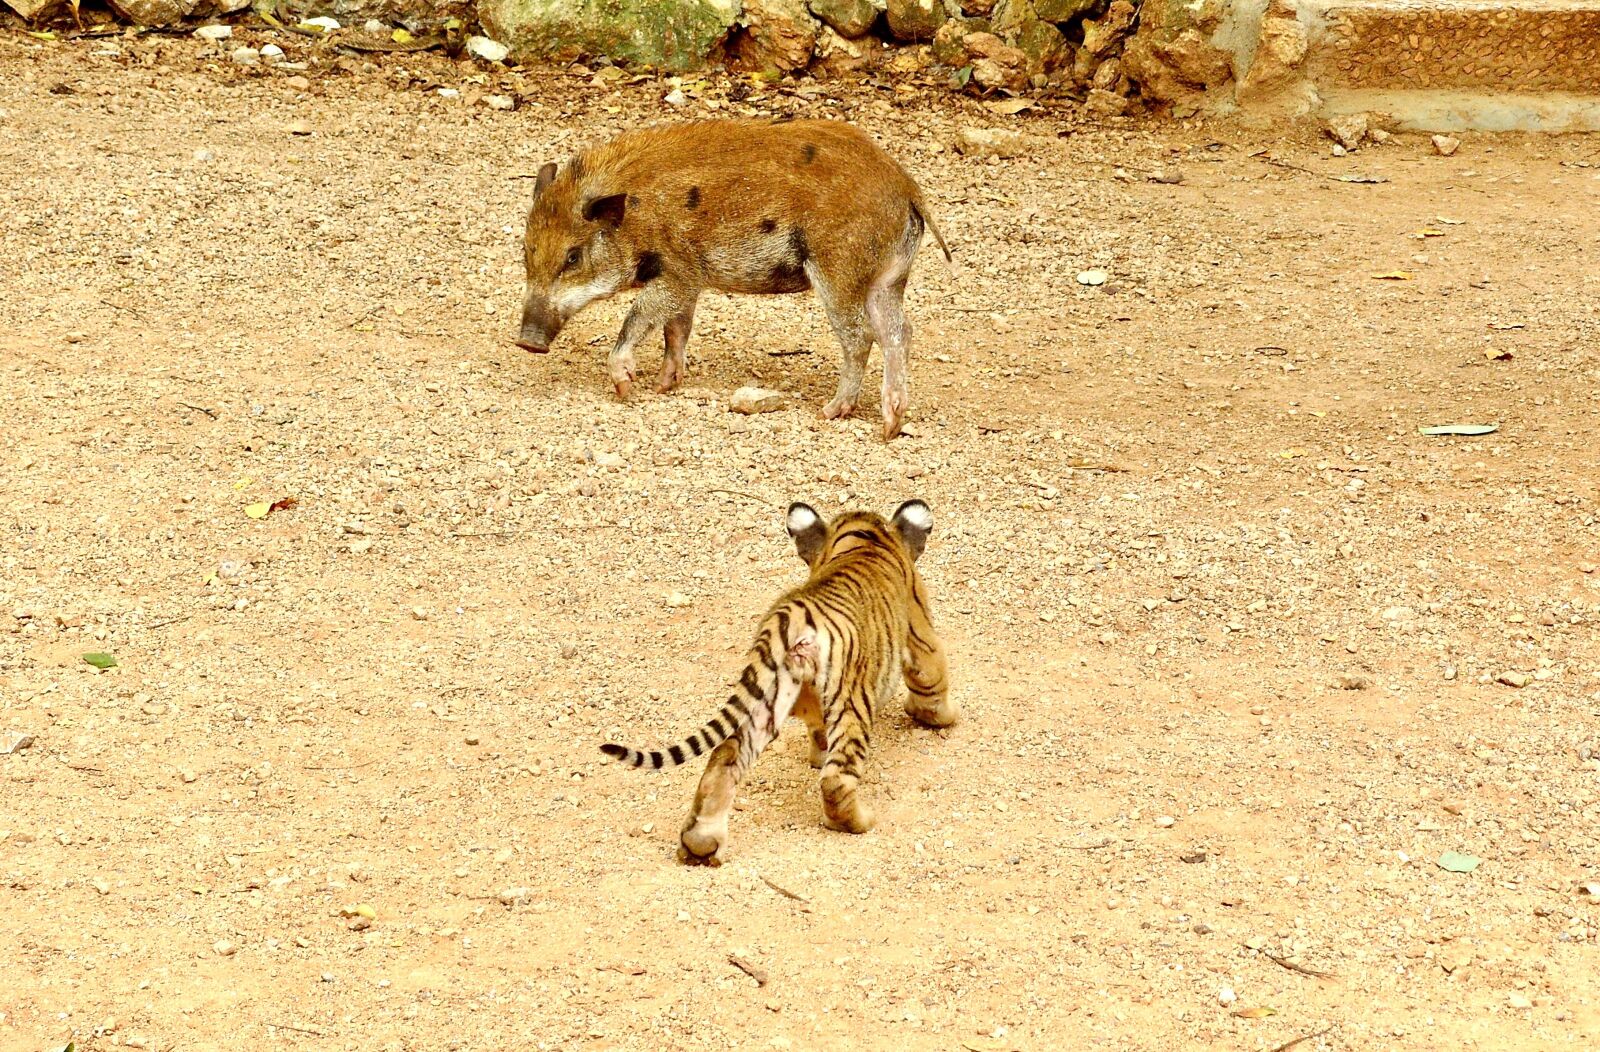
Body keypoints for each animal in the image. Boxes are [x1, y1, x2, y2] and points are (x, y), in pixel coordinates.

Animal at [516, 118, 950, 441]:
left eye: (572, 256)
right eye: (527, 250)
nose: (527, 343)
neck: (636, 217)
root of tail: (906, 187)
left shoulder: (679, 270)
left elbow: (640, 317)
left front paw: (628, 388)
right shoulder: (689, 281)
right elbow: (677, 329)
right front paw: (663, 386)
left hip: (839, 268)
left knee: (861, 335)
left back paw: (829, 412)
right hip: (888, 278)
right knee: (899, 332)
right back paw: (890, 425)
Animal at [599, 499, 957, 864]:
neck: (862, 537)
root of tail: (791, 616)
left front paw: (816, 754)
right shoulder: (920, 633)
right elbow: (932, 678)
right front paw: (942, 718)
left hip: (764, 699)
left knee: (723, 761)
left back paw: (700, 843)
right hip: (850, 700)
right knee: (836, 779)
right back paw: (857, 822)